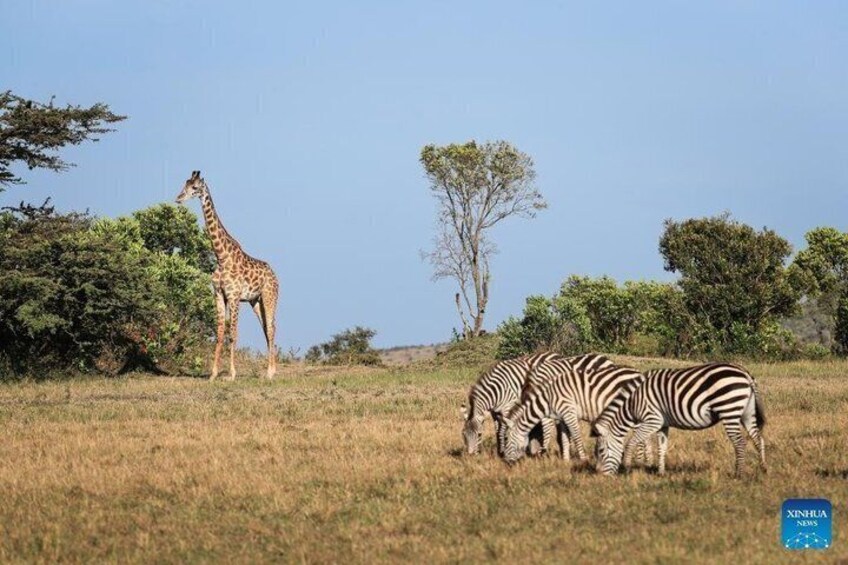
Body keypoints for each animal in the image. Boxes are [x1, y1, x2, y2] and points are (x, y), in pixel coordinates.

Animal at [176, 170, 279, 380]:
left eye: (195, 187)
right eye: (185, 185)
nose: (178, 198)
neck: (222, 257)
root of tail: (276, 277)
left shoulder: (233, 296)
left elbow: (233, 335)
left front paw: (231, 374)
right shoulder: (218, 295)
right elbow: (220, 333)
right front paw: (213, 375)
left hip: (269, 297)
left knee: (272, 328)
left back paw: (270, 372)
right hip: (256, 301)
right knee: (266, 329)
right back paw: (271, 370)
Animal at [462, 352, 612, 455]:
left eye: (479, 434)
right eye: (463, 435)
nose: (471, 455)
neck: (498, 388)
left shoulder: (508, 407)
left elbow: (503, 429)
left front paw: (503, 451)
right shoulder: (495, 412)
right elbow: (498, 430)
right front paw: (500, 450)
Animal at [501, 362, 646, 464]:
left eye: (507, 439)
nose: (506, 462)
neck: (549, 398)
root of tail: (638, 373)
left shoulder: (569, 412)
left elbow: (576, 436)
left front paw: (583, 459)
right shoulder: (562, 418)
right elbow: (565, 438)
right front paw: (565, 460)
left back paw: (638, 461)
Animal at [591, 363, 767, 477]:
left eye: (601, 451)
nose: (600, 477)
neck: (633, 402)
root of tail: (745, 373)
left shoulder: (651, 421)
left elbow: (631, 442)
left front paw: (626, 468)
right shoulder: (663, 425)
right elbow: (661, 448)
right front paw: (661, 473)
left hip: (729, 409)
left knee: (740, 442)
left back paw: (739, 474)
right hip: (747, 413)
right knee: (758, 439)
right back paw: (763, 469)